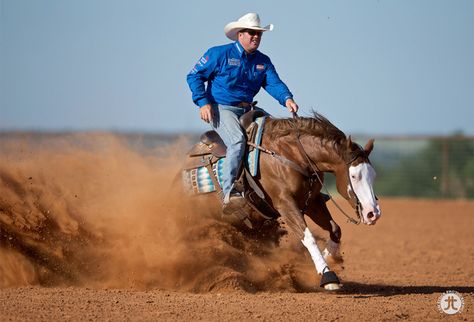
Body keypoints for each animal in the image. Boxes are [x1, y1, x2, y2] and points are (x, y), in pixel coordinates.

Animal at [181, 112, 382, 290]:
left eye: (373, 175)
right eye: (354, 176)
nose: (373, 213)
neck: (291, 155)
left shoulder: (313, 202)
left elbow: (335, 229)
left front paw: (327, 260)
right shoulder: (285, 204)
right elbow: (307, 237)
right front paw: (327, 275)